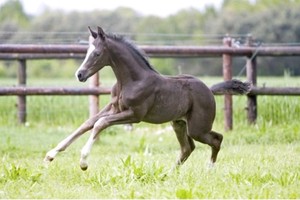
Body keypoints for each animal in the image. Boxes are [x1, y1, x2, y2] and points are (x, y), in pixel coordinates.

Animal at [44, 26, 251, 170]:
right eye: (87, 52)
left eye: (96, 53)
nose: (80, 74)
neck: (132, 80)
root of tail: (209, 89)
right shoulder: (113, 108)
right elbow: (87, 124)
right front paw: (50, 155)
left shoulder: (134, 115)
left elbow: (99, 124)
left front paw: (83, 162)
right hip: (179, 124)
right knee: (188, 148)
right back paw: (171, 172)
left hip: (197, 127)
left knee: (216, 139)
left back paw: (208, 168)